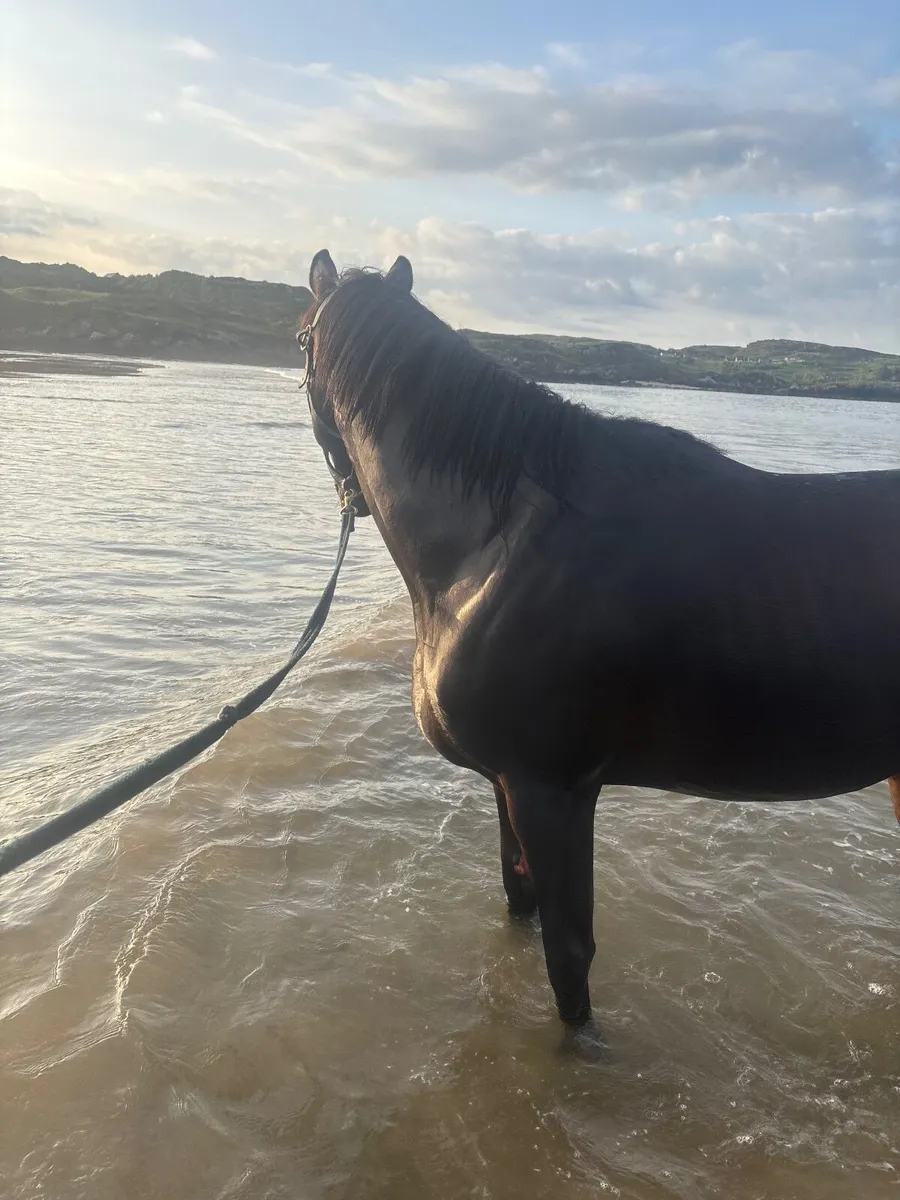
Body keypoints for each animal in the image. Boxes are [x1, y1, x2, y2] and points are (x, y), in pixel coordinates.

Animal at [298, 249, 900, 1036]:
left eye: (298, 338)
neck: (490, 549)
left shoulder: (551, 790)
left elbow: (569, 957)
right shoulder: (506, 783)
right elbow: (518, 902)